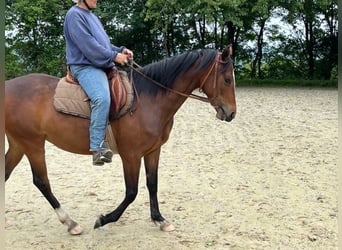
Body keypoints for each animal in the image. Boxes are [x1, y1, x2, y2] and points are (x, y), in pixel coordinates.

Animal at [4, 46, 236, 235]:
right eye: (227, 79)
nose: (231, 113)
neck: (149, 100)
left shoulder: (153, 151)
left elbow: (152, 184)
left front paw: (159, 219)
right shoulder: (131, 155)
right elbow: (132, 192)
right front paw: (104, 219)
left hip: (18, 144)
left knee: (6, 173)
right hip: (32, 144)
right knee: (41, 181)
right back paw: (70, 223)